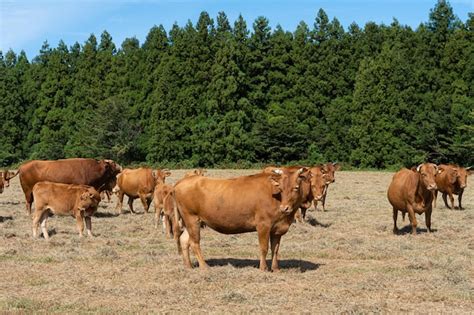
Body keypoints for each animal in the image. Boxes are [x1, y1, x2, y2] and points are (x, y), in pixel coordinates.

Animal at [172, 168, 310, 272]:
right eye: (280, 188)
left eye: (296, 187)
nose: (284, 208)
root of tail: (181, 182)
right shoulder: (263, 225)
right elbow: (264, 248)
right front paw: (263, 268)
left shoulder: (277, 229)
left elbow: (275, 249)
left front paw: (276, 269)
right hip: (191, 218)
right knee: (194, 242)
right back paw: (204, 266)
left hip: (191, 221)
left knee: (184, 240)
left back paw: (188, 266)